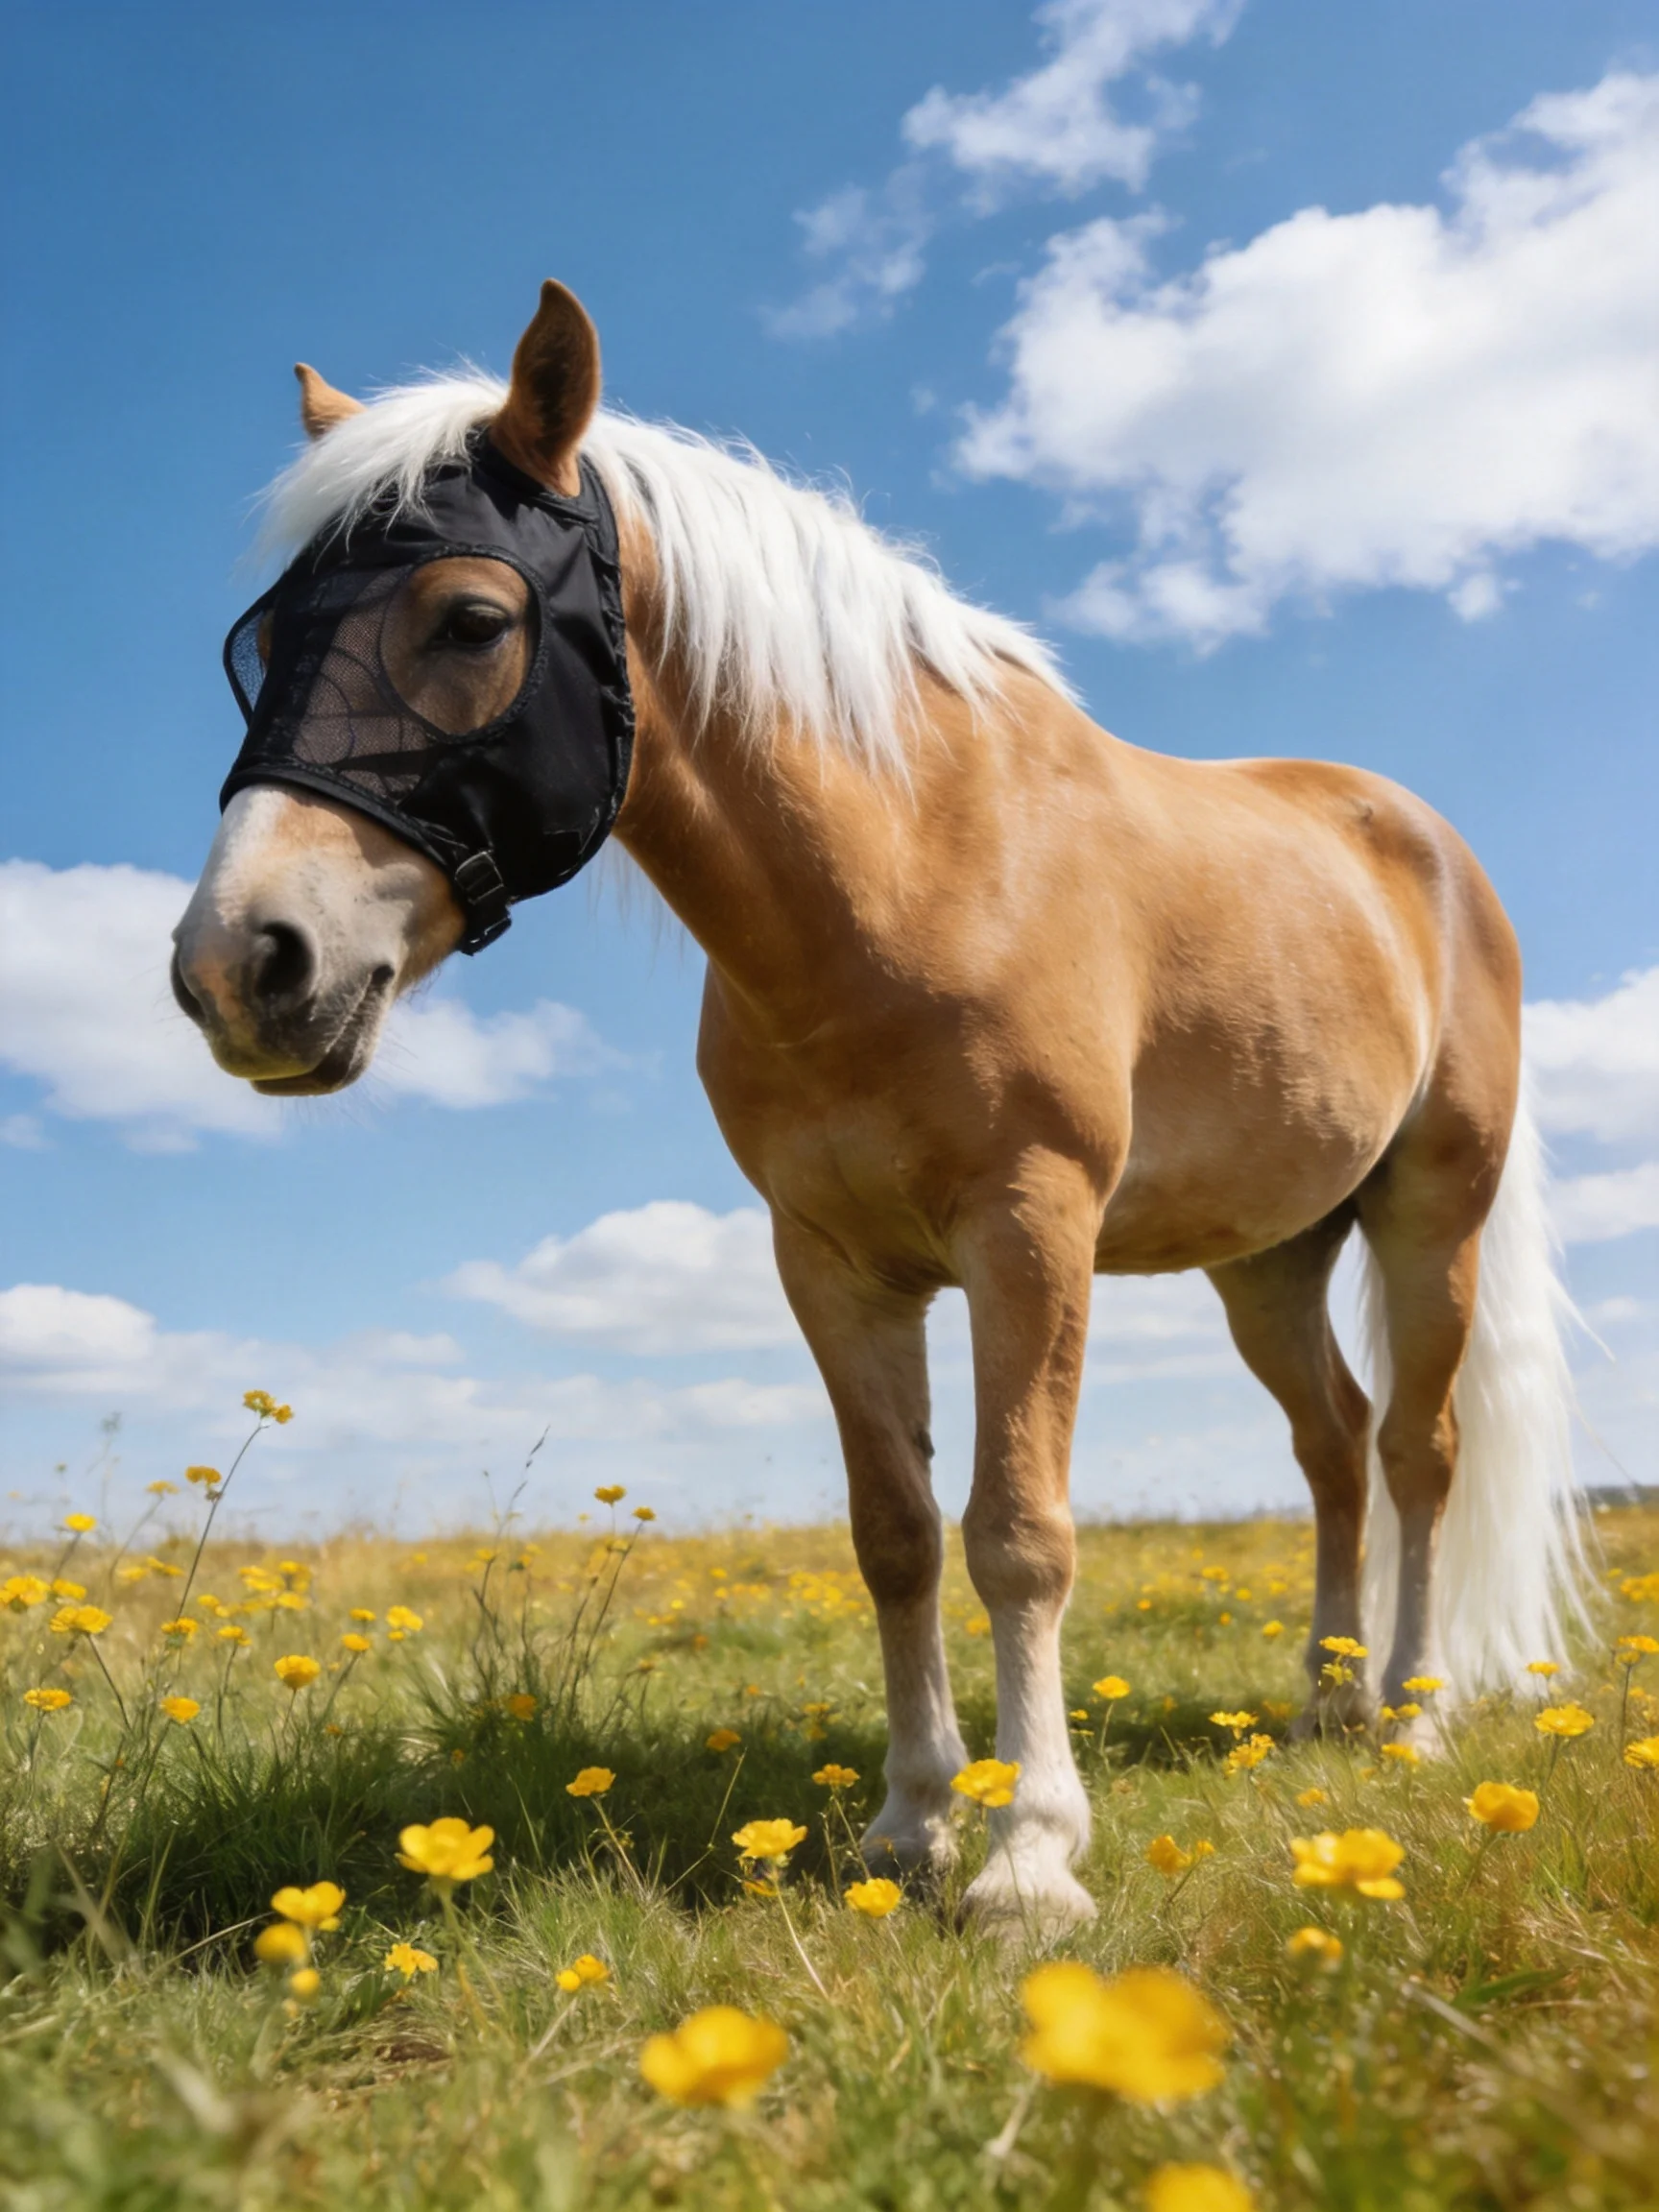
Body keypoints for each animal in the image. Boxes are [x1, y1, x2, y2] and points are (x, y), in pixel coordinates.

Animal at [172, 280, 1585, 1931]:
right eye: (265, 644)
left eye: (470, 621)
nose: (238, 966)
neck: (911, 871)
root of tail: (1421, 843)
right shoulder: (833, 1264)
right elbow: (898, 1535)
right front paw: (911, 1828)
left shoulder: (1029, 1231)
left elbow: (1019, 1535)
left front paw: (1030, 1853)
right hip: (1267, 1260)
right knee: (1336, 1446)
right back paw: (1326, 1705)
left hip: (1432, 1215)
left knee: (1421, 1451)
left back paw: (1417, 1722)